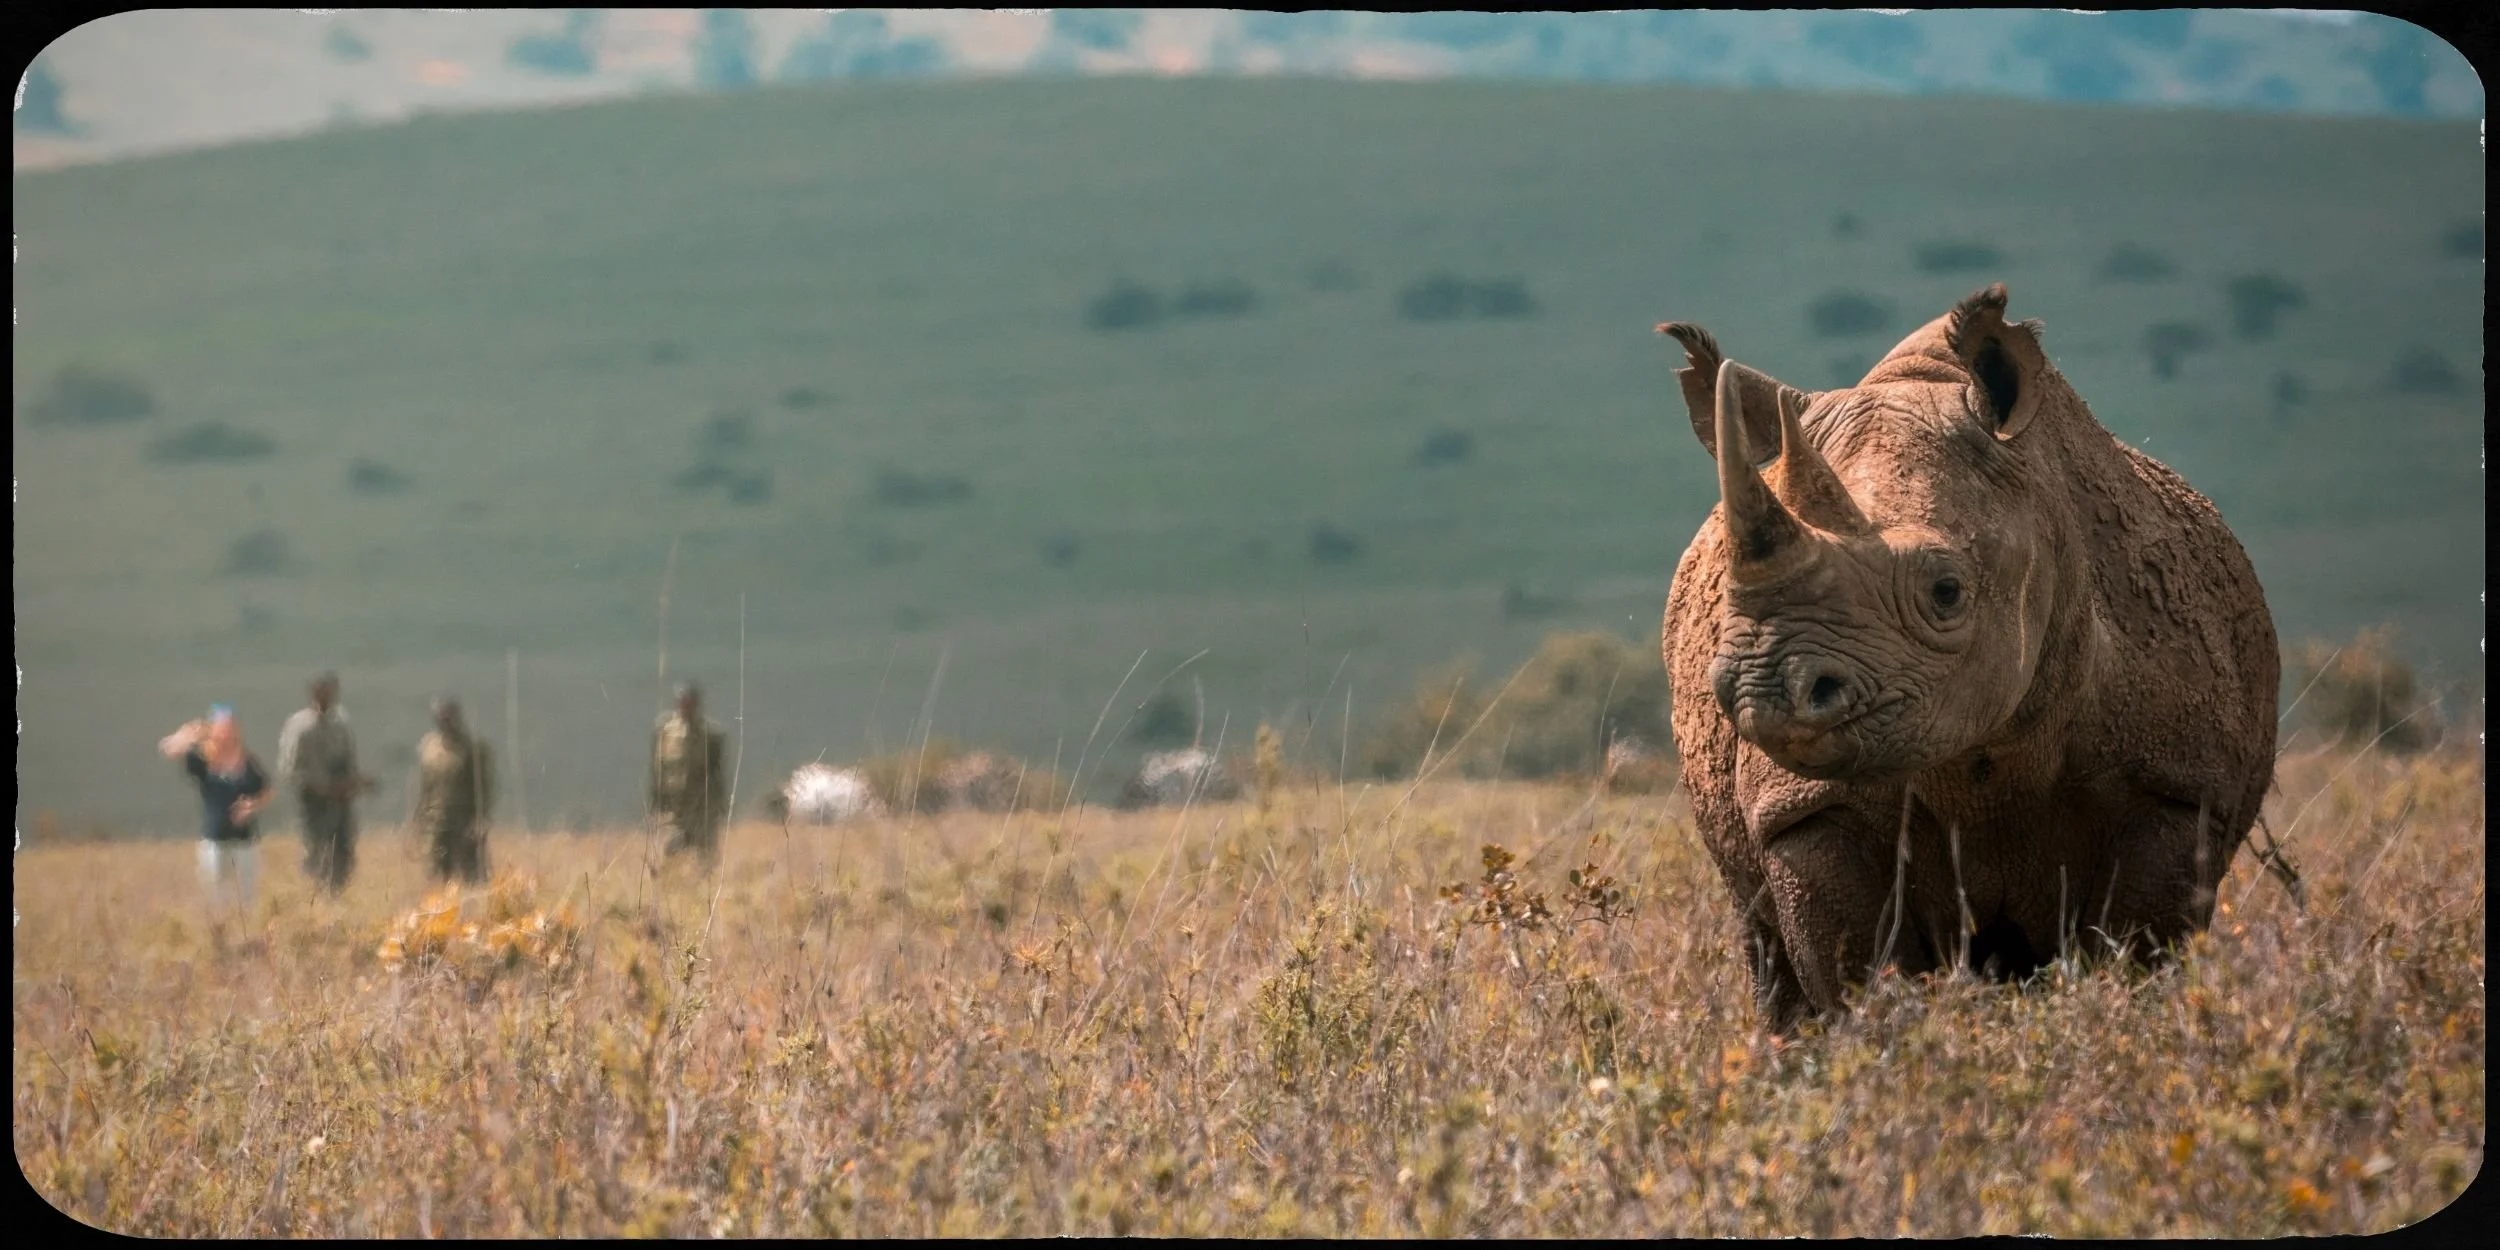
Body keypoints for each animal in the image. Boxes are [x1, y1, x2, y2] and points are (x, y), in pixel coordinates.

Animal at [1656, 284, 2278, 1033]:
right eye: (1725, 606)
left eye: (1946, 592)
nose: (1766, 693)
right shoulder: (1803, 809)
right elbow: (1857, 972)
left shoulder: (2178, 789)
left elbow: (2140, 956)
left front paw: (2122, 1030)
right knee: (1765, 939)